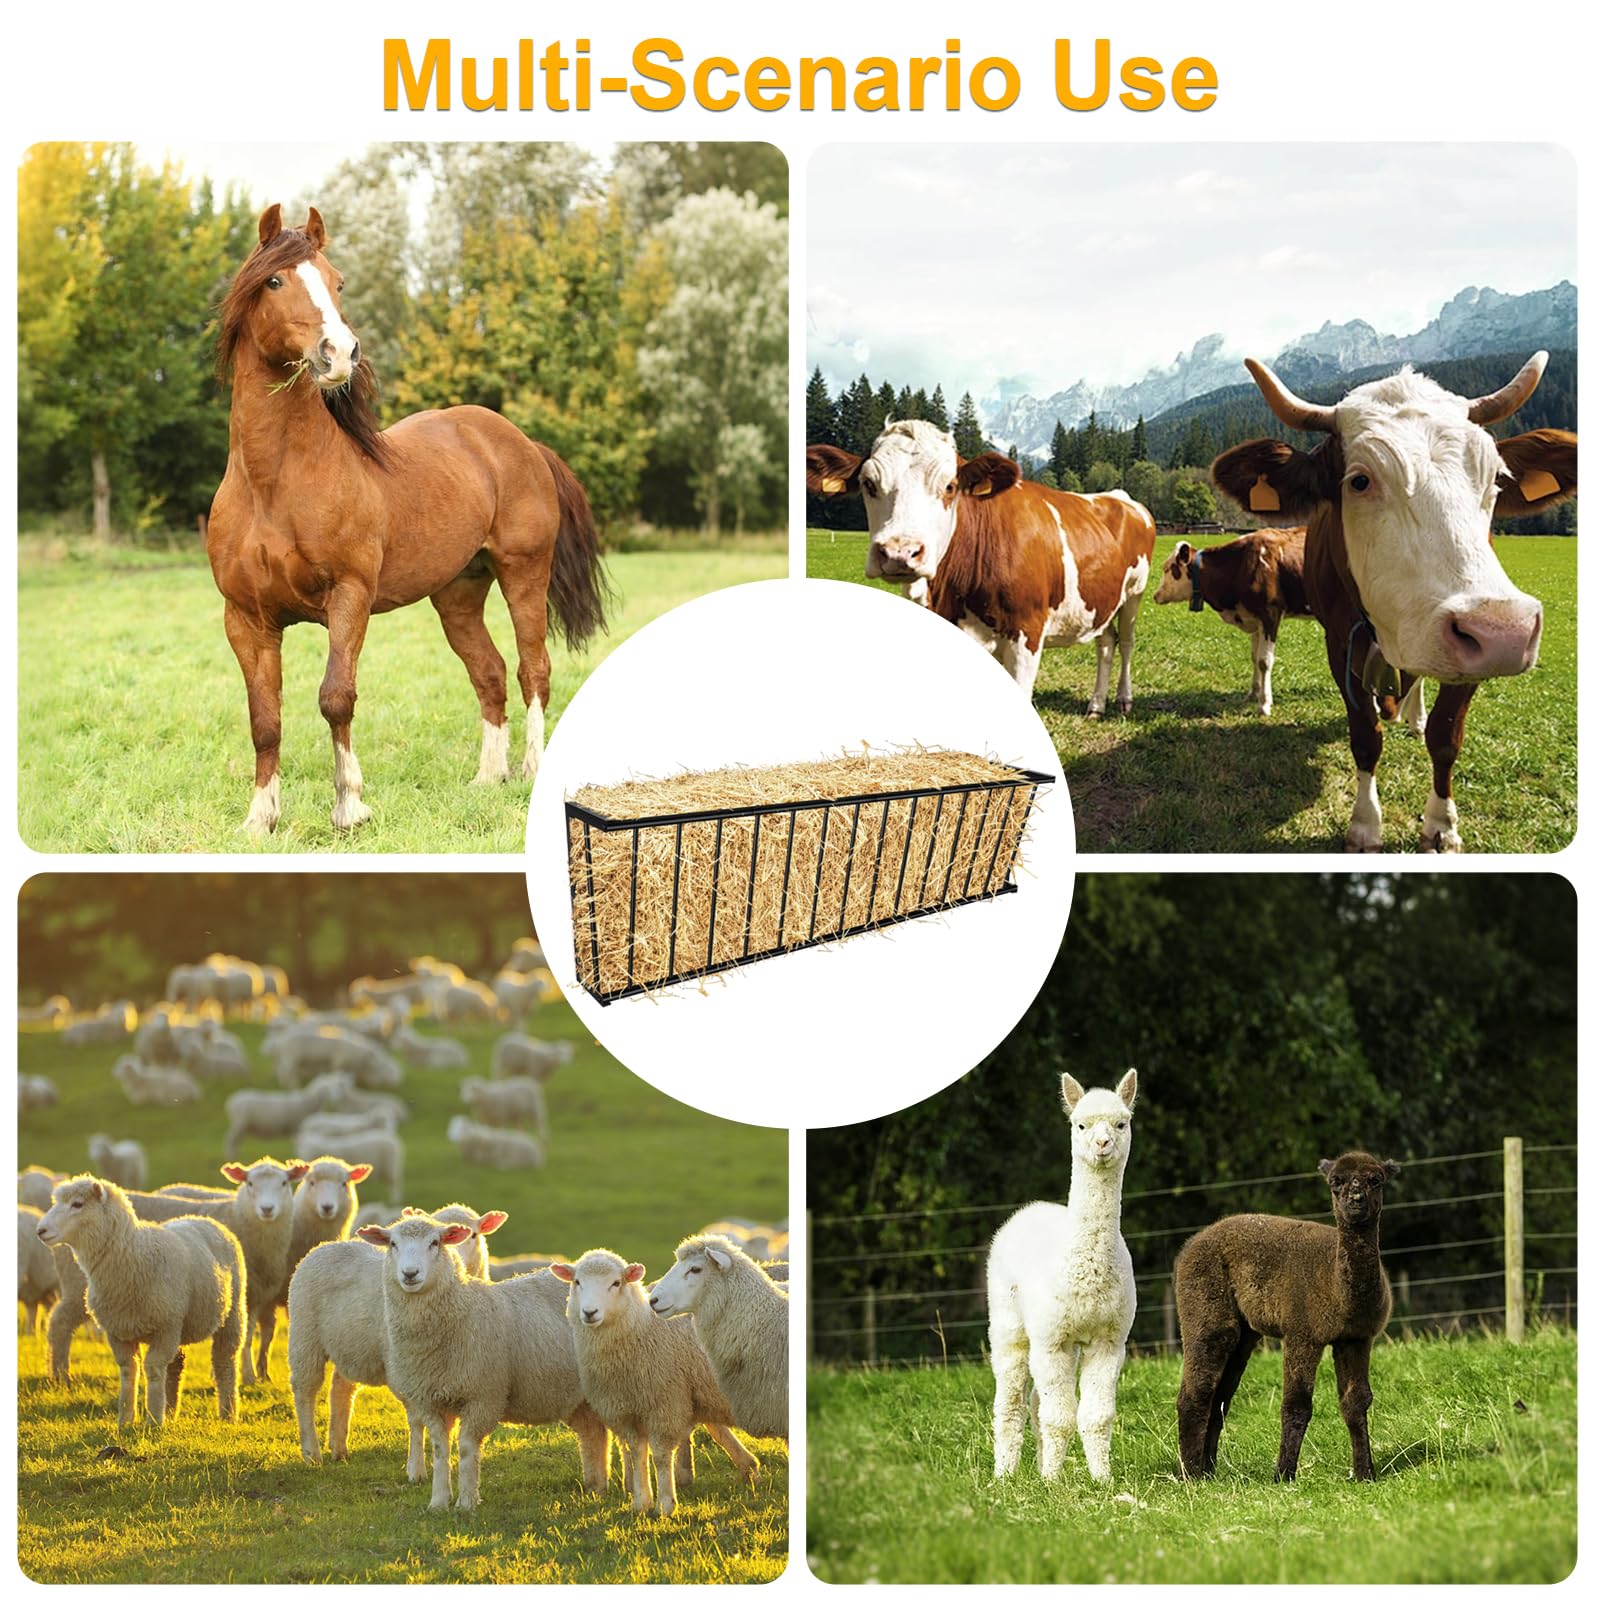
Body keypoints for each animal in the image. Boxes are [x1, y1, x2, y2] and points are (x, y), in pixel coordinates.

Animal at [207, 204, 609, 836]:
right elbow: (263, 718)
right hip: (458, 594)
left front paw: (350, 806)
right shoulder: (246, 619)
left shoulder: (349, 597)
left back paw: (528, 770)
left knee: (533, 670)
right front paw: (260, 819)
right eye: (274, 281)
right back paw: (487, 778)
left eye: (338, 281)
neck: (272, 486)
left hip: (525, 574)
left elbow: (335, 697)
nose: (339, 352)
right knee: (490, 672)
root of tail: (520, 442)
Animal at [807, 420, 1156, 712]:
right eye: (869, 484)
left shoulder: (1027, 633)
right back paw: (1096, 705)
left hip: (1134, 593)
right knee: (1106, 643)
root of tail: (1118, 496)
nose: (899, 552)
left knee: (1126, 642)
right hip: (1101, 598)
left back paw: (1123, 699)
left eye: (950, 486)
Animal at [1210, 353, 1575, 852]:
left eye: (1496, 478)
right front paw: (1365, 825)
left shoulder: (1468, 655)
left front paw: (1441, 825)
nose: (1505, 632)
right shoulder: (1340, 644)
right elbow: (1366, 737)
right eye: (1360, 481)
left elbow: (1446, 737)